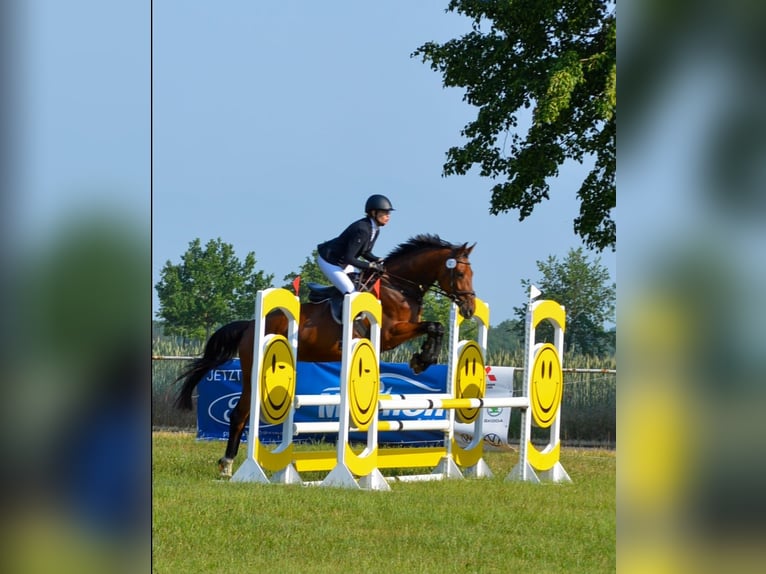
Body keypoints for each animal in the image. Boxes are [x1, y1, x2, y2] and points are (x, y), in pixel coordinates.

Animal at [176, 234, 474, 476]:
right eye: (459, 274)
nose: (469, 308)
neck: (399, 287)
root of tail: (250, 325)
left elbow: (436, 327)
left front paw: (423, 359)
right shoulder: (390, 333)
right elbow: (434, 326)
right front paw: (421, 360)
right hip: (253, 371)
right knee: (239, 414)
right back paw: (227, 465)